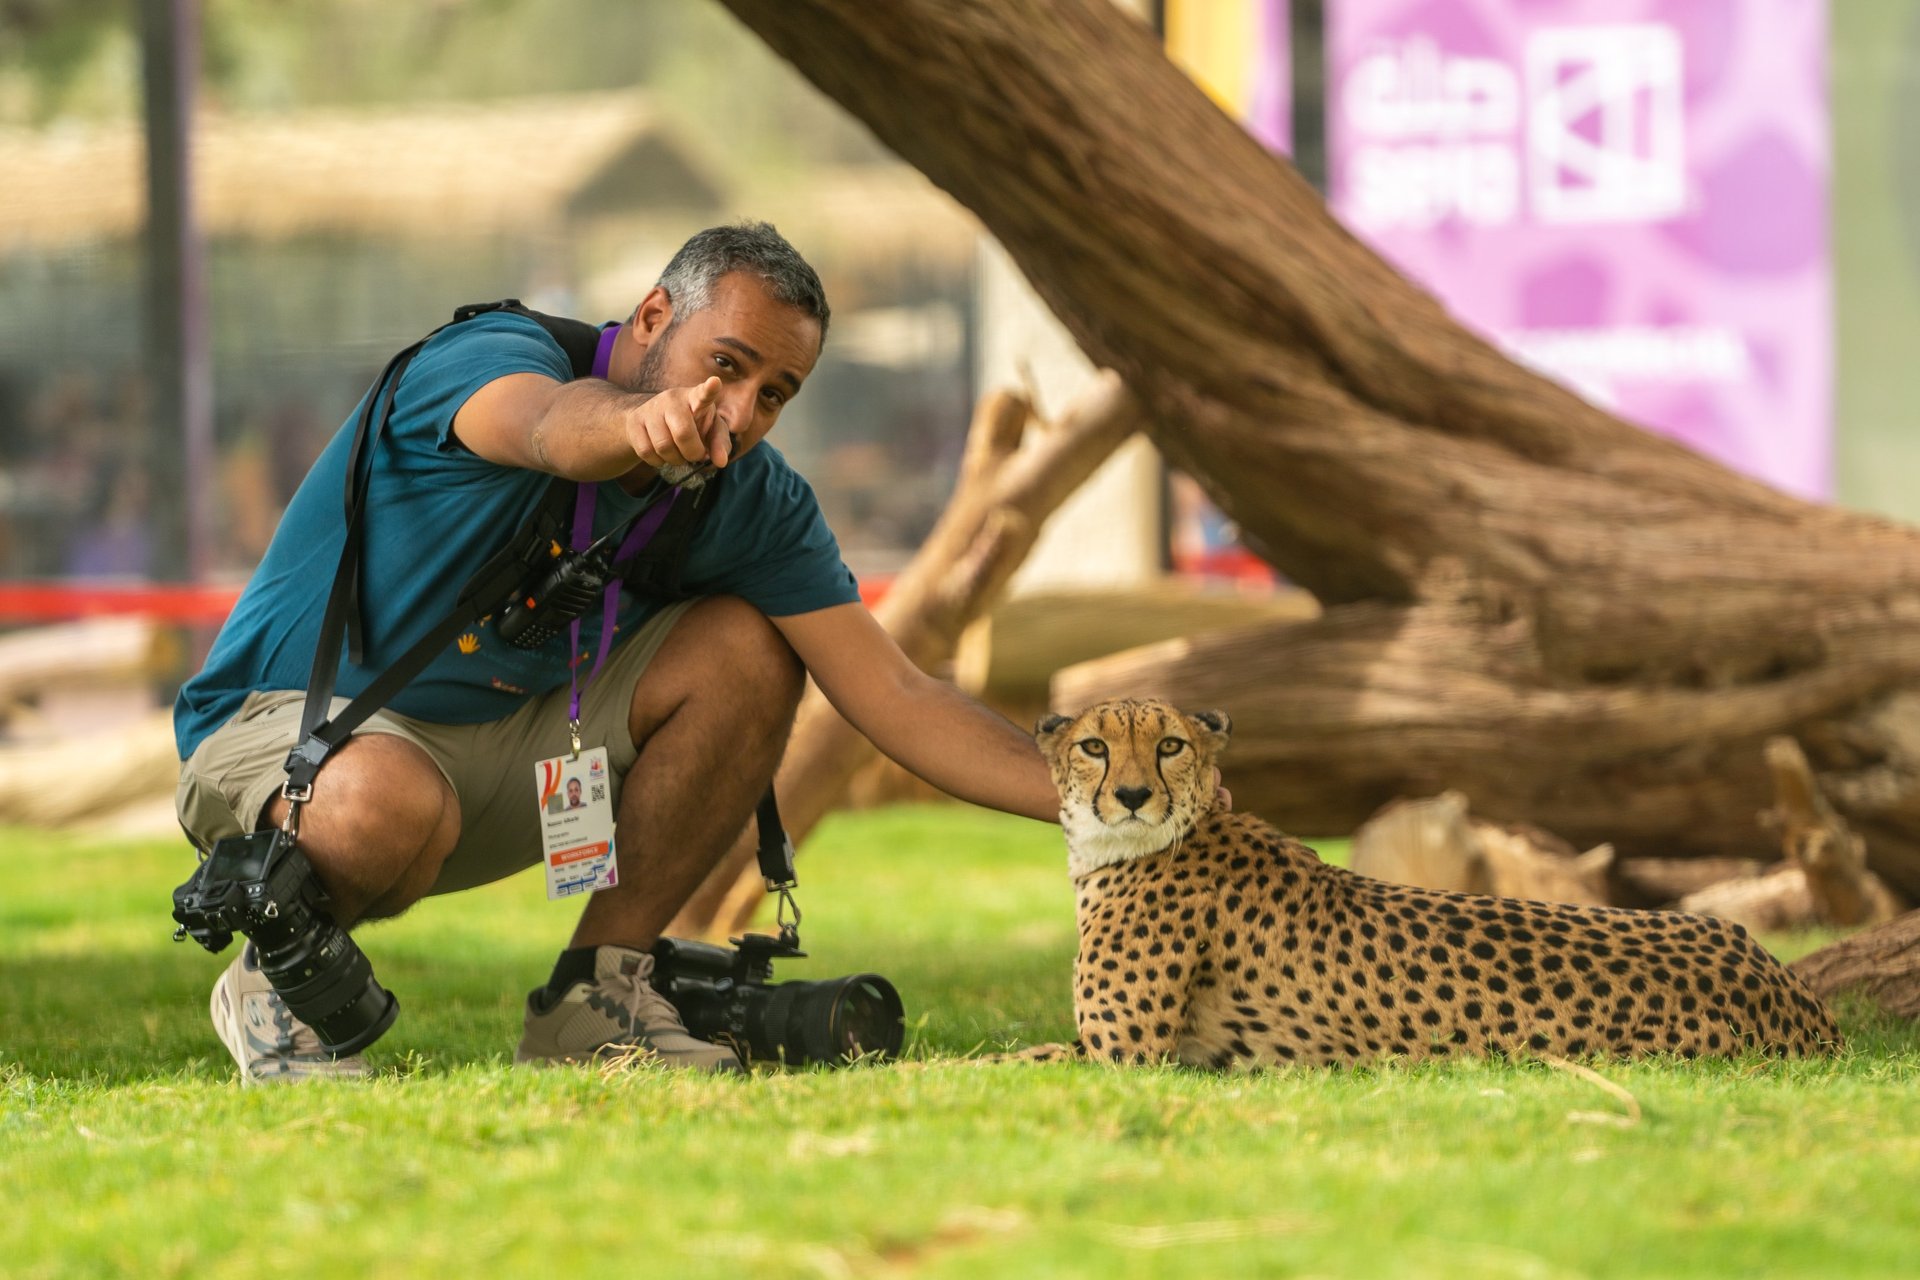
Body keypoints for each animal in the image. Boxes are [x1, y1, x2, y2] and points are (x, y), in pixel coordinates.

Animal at [1021, 702, 1843, 1074]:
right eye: (1093, 746)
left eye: (1169, 745)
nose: (1132, 795)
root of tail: (1806, 1008)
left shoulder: (1131, 1060)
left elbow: (1009, 1062)